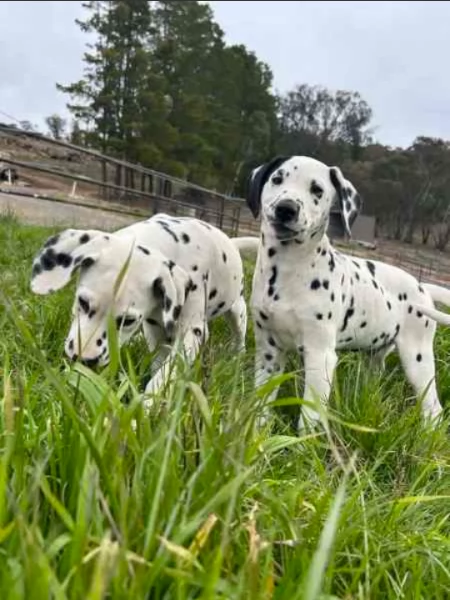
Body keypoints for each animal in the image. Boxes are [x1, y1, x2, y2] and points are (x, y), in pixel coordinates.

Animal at [29, 213, 258, 406]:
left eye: (127, 321)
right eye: (83, 302)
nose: (84, 360)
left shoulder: (192, 334)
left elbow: (166, 373)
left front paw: (148, 405)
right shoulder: (154, 328)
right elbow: (159, 361)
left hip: (237, 311)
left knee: (239, 335)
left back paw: (238, 355)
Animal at [246, 155, 450, 432]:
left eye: (317, 190)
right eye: (277, 179)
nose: (286, 208)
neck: (287, 270)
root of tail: (422, 286)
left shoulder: (320, 357)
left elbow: (309, 418)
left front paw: (302, 443)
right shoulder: (269, 351)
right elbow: (262, 403)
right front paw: (256, 434)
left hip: (417, 359)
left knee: (434, 409)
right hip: (376, 355)